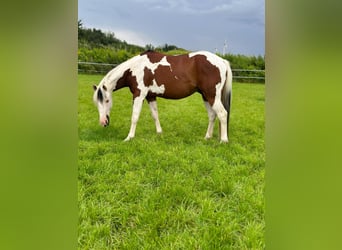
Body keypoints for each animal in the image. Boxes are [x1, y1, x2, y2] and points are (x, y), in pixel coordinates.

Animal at [93, 49, 232, 143]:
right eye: (96, 103)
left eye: (107, 100)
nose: (103, 122)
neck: (135, 68)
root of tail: (221, 61)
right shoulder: (150, 96)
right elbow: (155, 115)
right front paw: (159, 133)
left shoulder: (139, 95)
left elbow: (134, 117)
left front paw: (129, 137)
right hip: (206, 96)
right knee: (212, 115)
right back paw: (207, 137)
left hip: (212, 96)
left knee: (222, 114)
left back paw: (224, 140)